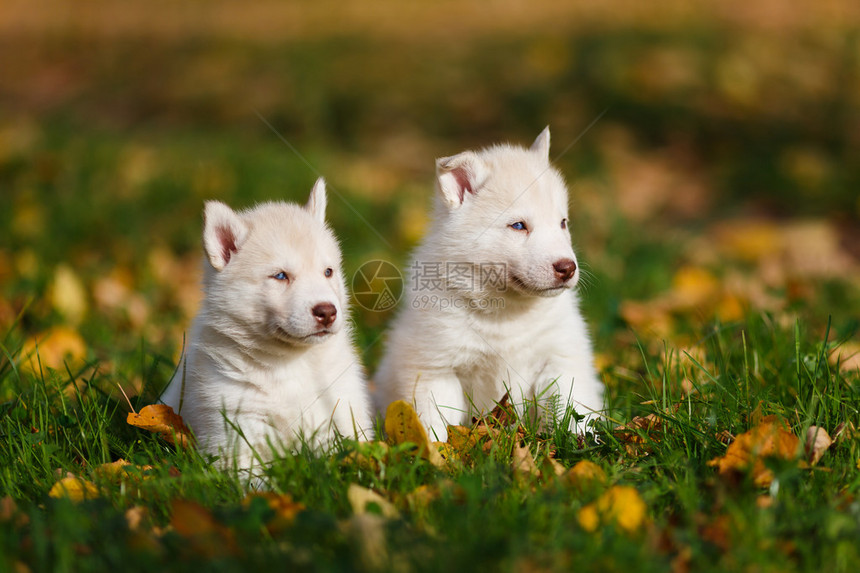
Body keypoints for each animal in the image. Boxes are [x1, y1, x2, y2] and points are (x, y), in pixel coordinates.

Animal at [160, 179, 372, 470]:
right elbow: (251, 476)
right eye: (280, 276)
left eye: (328, 272)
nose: (327, 312)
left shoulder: (343, 409)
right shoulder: (233, 429)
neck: (290, 362)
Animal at [376, 130, 604, 440]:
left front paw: (579, 441)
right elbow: (435, 424)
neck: (507, 313)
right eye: (518, 226)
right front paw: (438, 450)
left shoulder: (559, 359)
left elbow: (569, 410)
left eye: (562, 223)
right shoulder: (437, 371)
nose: (567, 268)